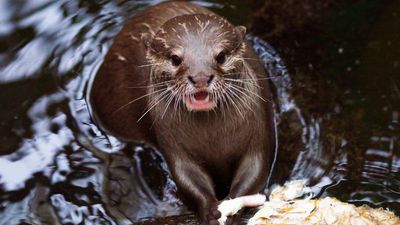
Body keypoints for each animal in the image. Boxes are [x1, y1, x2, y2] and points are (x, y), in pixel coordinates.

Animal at [88, 1, 276, 223]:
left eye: (221, 56)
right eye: (175, 59)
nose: (201, 77)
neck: (213, 140)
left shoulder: (259, 132)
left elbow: (256, 170)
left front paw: (232, 208)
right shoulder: (174, 145)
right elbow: (187, 176)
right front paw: (210, 210)